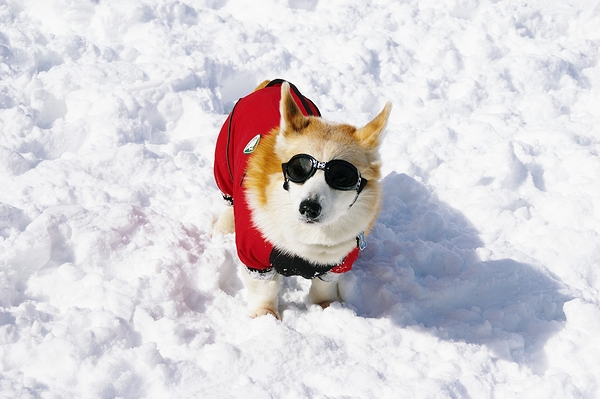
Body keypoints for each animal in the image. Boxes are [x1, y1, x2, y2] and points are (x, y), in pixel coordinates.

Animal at [213, 79, 392, 320]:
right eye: (298, 168)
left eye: (342, 177)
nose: (309, 207)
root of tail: (271, 84)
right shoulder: (254, 258)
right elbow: (265, 289)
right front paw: (266, 316)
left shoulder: (336, 264)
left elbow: (323, 286)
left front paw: (327, 307)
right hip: (223, 166)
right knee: (227, 200)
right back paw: (222, 227)